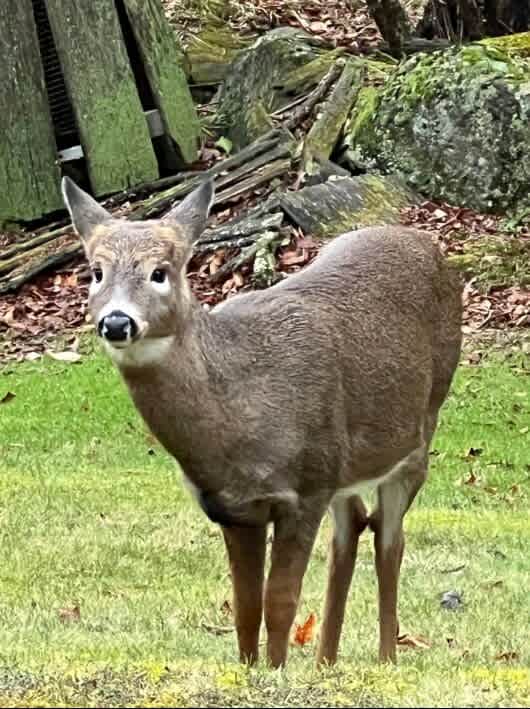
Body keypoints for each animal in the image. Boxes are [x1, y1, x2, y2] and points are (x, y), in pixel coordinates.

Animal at [59, 176, 460, 668]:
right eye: (96, 271)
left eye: (160, 272)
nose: (117, 322)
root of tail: (429, 244)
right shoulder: (234, 509)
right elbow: (246, 607)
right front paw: (253, 667)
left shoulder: (306, 489)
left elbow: (281, 601)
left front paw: (277, 670)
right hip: (344, 461)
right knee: (353, 525)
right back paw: (326, 660)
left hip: (418, 431)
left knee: (390, 537)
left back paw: (386, 657)